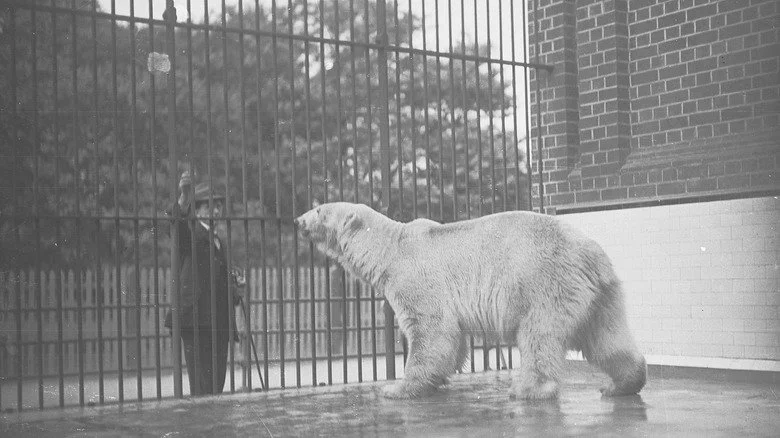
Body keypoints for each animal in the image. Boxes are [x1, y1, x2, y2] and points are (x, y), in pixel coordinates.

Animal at [294, 202, 646, 400]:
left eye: (319, 210)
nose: (298, 221)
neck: (390, 248)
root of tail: (593, 257)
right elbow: (454, 340)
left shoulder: (416, 278)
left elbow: (431, 331)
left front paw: (397, 388)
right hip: (603, 296)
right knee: (606, 338)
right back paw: (622, 384)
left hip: (544, 282)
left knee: (538, 336)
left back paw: (528, 389)